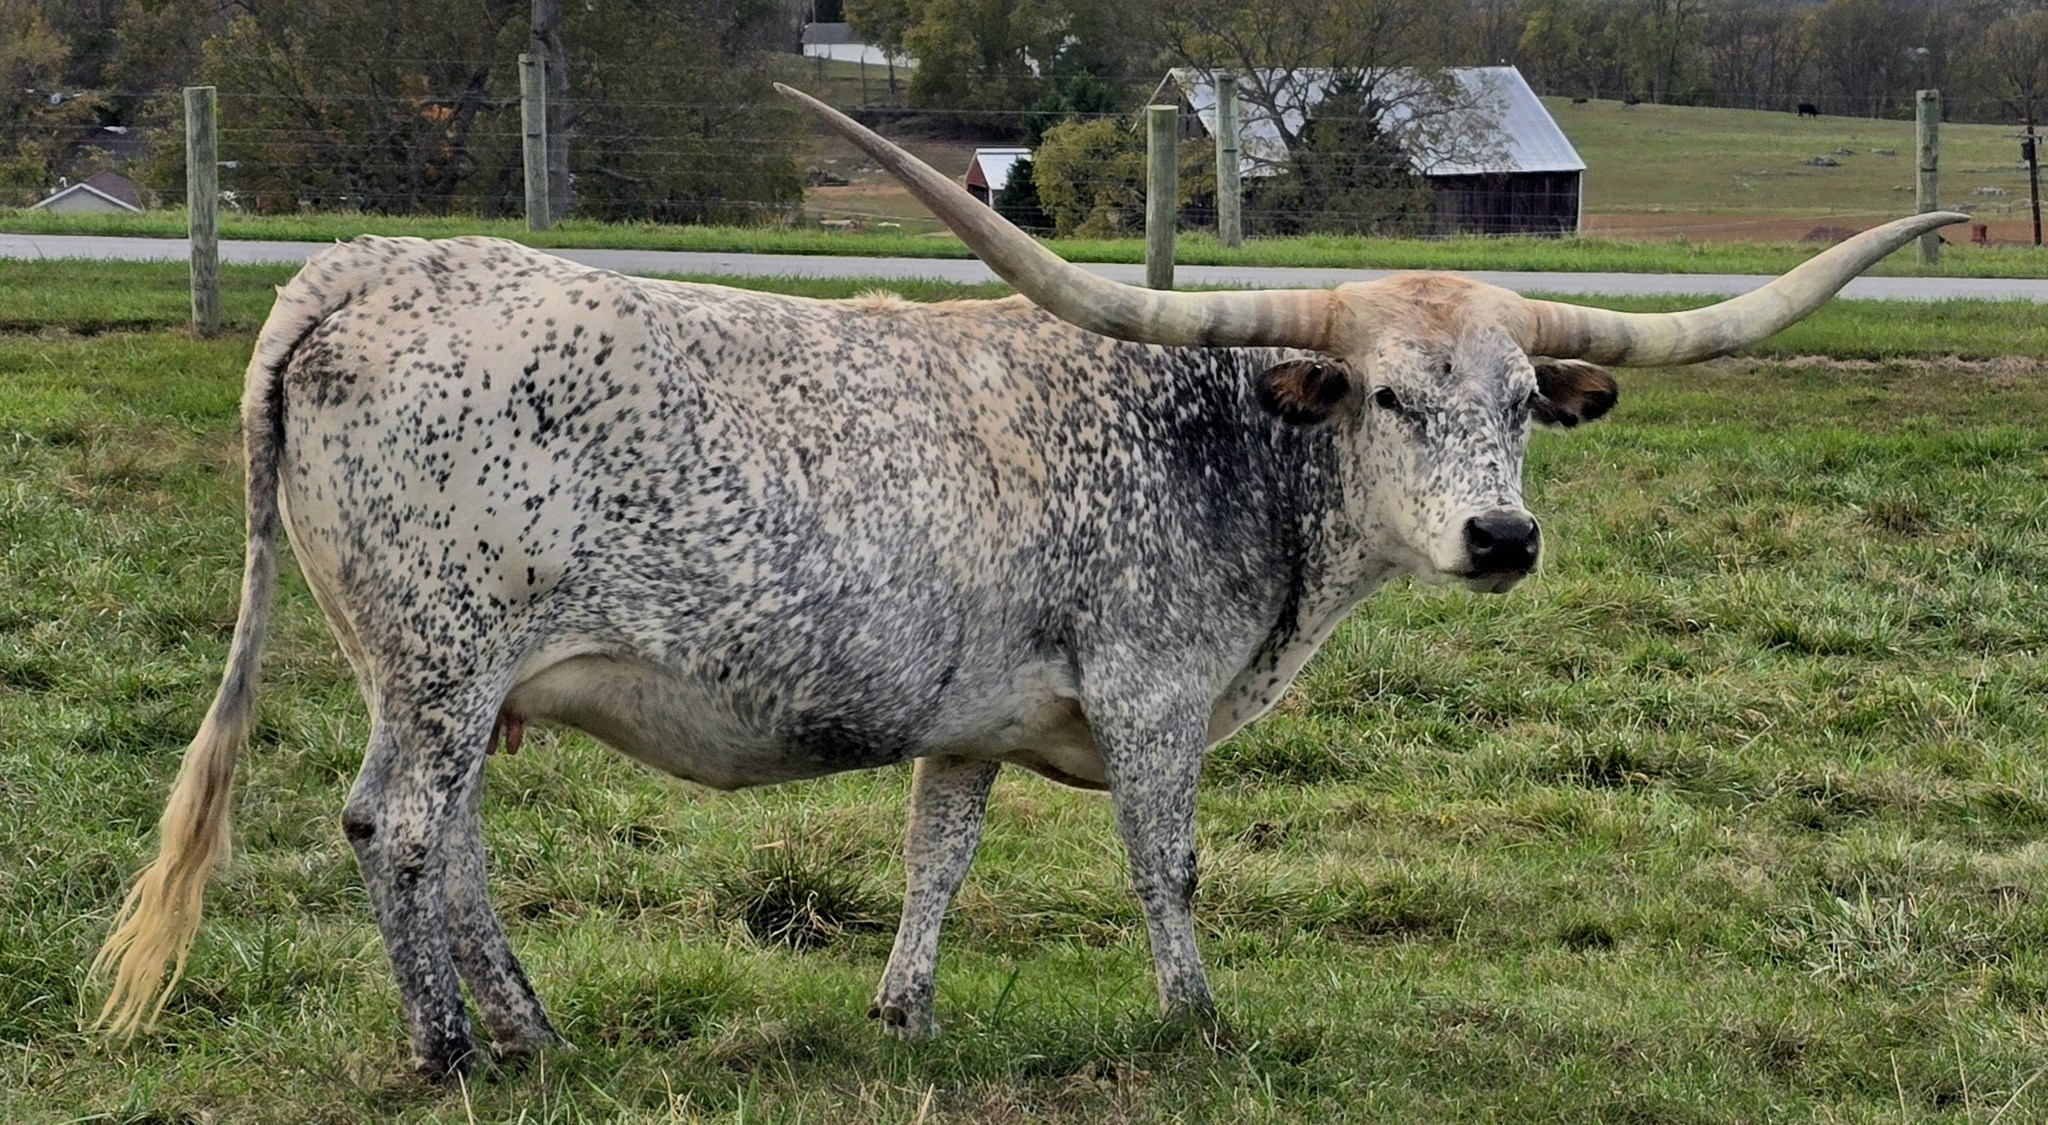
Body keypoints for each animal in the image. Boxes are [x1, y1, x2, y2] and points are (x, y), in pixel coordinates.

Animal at [90, 84, 1965, 1078]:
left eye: (1519, 405)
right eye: (1381, 397)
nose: (1499, 540)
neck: (1218, 445)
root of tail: (354, 271)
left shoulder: (970, 722)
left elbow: (937, 858)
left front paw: (903, 1009)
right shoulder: (1154, 698)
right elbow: (1168, 864)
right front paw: (1199, 1020)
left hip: (454, 679)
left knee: (439, 834)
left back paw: (535, 1027)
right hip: (442, 653)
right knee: (399, 828)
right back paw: (452, 1050)